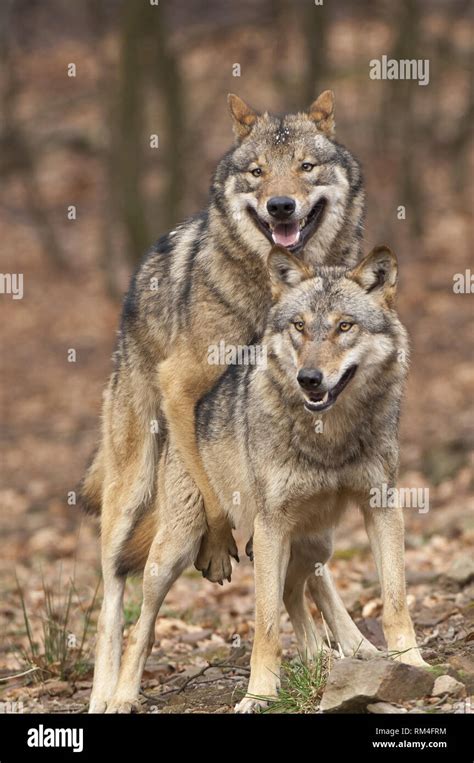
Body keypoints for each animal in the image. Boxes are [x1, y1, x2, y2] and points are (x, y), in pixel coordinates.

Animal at [83, 91, 364, 716]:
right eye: (257, 172)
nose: (281, 206)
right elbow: (214, 496)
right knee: (116, 592)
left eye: (306, 167)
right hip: (132, 484)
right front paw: (216, 547)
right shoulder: (184, 387)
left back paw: (352, 645)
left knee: (310, 573)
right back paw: (109, 692)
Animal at [99, 246, 426, 716]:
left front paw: (411, 663)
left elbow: (395, 602)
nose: (309, 378)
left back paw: (326, 658)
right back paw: (122, 696)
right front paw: (258, 696)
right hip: (175, 551)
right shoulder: (272, 527)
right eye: (299, 326)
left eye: (345, 326)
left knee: (297, 591)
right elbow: (266, 627)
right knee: (141, 625)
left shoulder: (381, 507)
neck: (328, 437)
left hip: (316, 544)